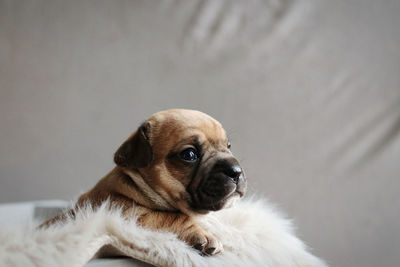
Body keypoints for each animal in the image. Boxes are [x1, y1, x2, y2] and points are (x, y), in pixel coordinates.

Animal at [46, 110, 247, 256]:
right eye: (189, 154)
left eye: (228, 146)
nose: (236, 170)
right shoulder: (127, 214)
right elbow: (172, 217)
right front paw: (201, 235)